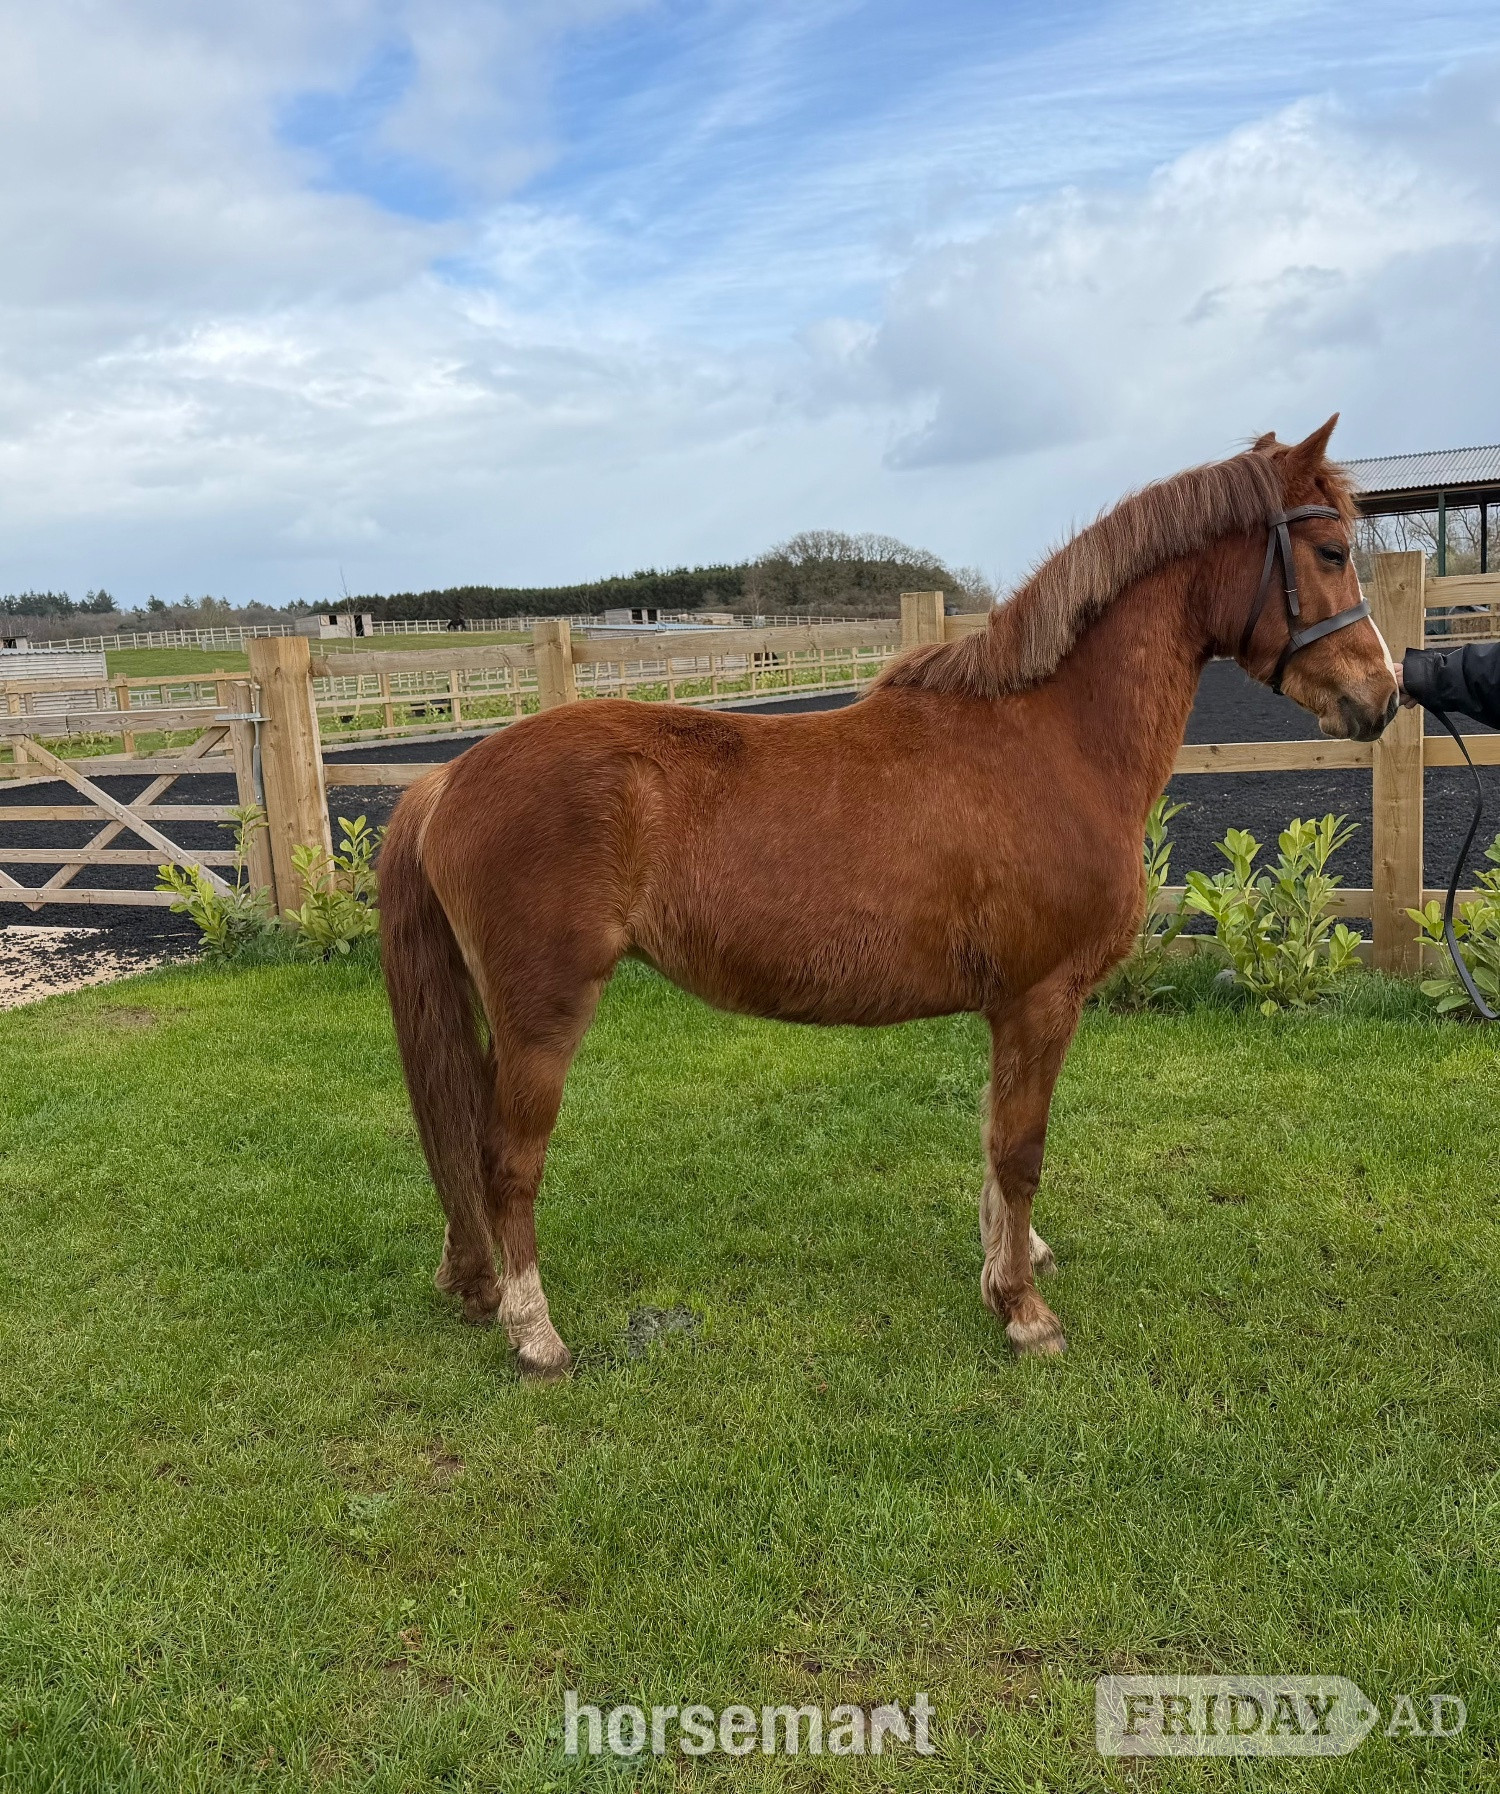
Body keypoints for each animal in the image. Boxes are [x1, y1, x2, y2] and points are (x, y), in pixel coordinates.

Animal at [380, 416, 1397, 1377]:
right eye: (1331, 551)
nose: (1381, 698)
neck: (1051, 739)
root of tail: (450, 776)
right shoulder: (1042, 999)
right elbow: (1020, 1150)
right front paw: (1023, 1311)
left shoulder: (1010, 1009)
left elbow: (994, 1139)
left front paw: (1011, 1259)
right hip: (544, 1016)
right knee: (508, 1162)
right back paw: (535, 1335)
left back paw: (478, 1288)